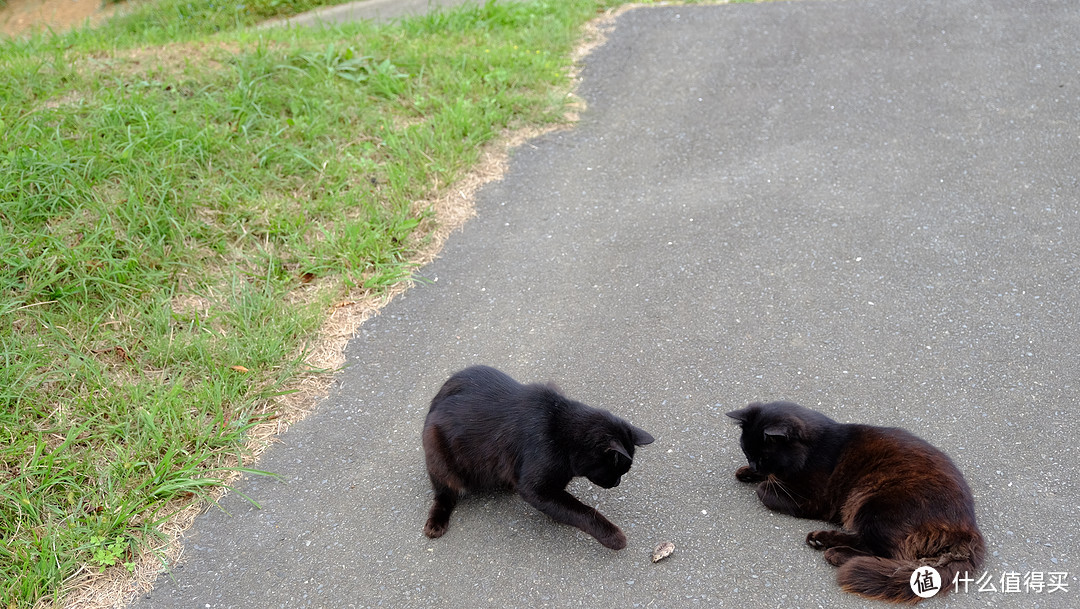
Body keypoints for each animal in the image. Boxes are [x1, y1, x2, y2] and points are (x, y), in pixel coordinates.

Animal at [421, 367, 656, 552]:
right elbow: (583, 511)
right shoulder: (535, 488)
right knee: (444, 493)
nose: (617, 483)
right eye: (616, 470)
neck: (563, 434)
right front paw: (613, 536)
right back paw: (436, 522)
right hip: (438, 454)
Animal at [730, 399, 984, 604]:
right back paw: (821, 540)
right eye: (746, 451)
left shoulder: (813, 499)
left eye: (764, 456)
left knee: (882, 551)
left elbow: (765, 489)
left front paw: (762, 480)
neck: (815, 447)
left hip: (873, 504)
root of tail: (968, 530)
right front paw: (746, 472)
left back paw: (834, 553)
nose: (753, 466)